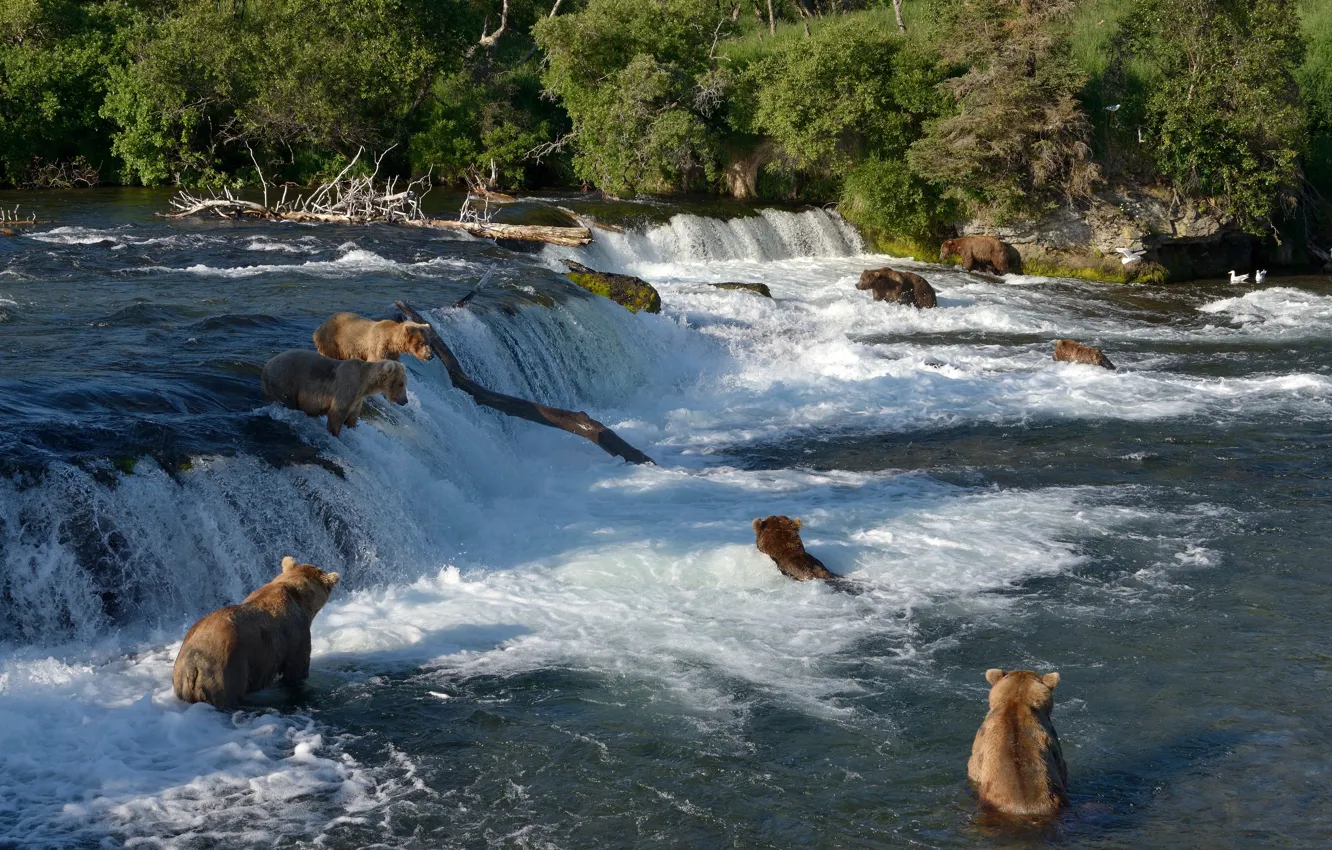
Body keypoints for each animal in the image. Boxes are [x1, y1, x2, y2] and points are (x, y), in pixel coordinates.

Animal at [261, 349, 408, 437]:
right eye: (401, 383)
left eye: (405, 383)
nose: (405, 401)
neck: (365, 384)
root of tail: (266, 366)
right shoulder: (347, 386)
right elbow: (337, 413)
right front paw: (335, 433)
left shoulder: (357, 399)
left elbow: (352, 417)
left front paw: (351, 426)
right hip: (284, 380)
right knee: (287, 400)